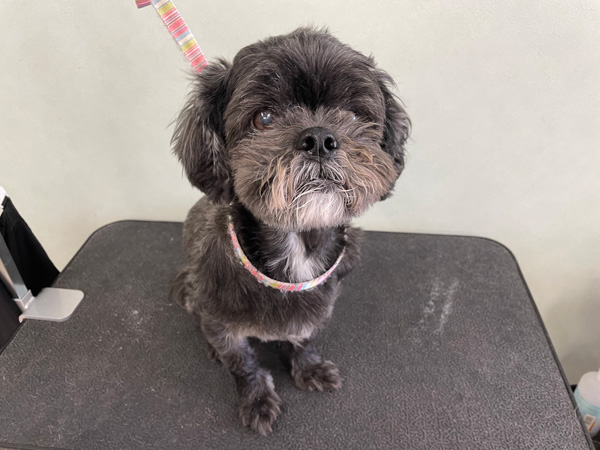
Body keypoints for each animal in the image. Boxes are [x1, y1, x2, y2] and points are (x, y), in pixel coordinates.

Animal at [170, 27, 410, 435]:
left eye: (353, 113)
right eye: (265, 117)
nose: (319, 138)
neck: (297, 250)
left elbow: (303, 338)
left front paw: (308, 368)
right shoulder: (222, 322)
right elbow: (244, 365)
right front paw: (256, 399)